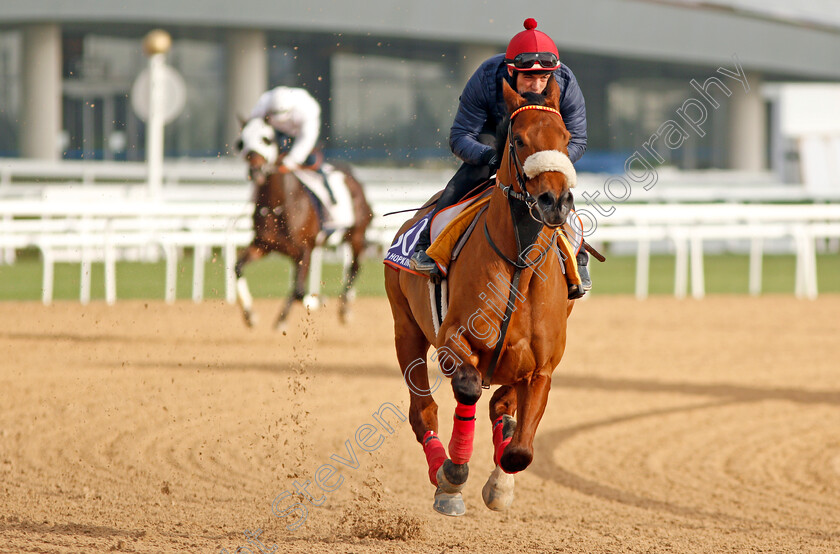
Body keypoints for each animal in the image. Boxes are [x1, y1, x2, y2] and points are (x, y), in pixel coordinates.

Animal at [233, 117, 370, 328]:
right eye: (241, 141)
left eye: (266, 139)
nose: (256, 170)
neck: (278, 204)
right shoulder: (264, 244)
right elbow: (238, 267)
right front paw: (250, 315)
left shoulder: (304, 249)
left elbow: (299, 290)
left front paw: (318, 300)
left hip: (355, 235)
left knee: (354, 268)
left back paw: (344, 310)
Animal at [388, 76, 576, 512]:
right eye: (519, 140)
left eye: (565, 137)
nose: (556, 201)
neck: (519, 266)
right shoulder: (453, 341)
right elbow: (468, 389)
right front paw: (453, 476)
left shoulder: (541, 368)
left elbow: (518, 449)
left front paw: (500, 483)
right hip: (406, 329)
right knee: (424, 409)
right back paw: (442, 477)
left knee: (498, 406)